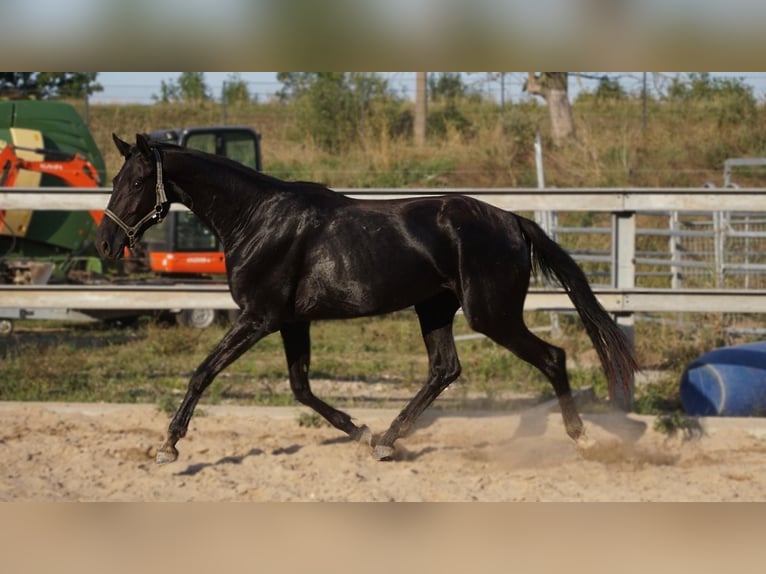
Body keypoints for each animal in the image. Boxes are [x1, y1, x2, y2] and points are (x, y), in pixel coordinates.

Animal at [97, 133, 638, 464]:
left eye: (138, 181)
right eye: (118, 180)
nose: (105, 243)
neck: (256, 219)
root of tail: (513, 221)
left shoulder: (258, 317)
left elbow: (203, 372)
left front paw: (169, 445)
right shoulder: (291, 321)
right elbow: (301, 387)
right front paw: (357, 429)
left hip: (491, 314)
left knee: (552, 357)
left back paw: (583, 438)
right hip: (435, 308)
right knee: (444, 369)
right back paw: (386, 440)